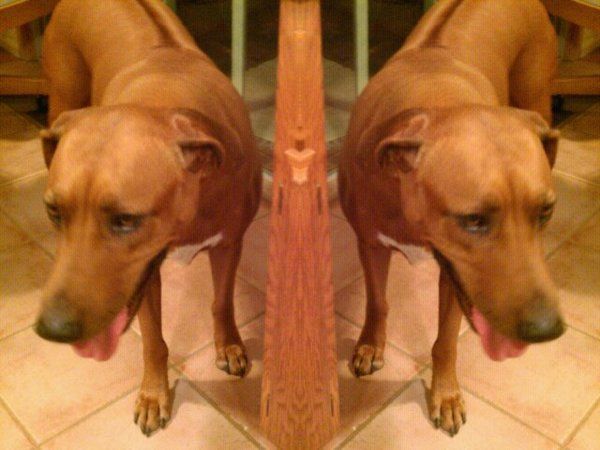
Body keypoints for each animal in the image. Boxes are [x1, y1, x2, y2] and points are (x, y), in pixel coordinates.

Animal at [35, 0, 261, 435]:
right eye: (54, 211)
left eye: (125, 220)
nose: (50, 330)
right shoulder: (145, 276)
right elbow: (154, 339)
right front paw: (155, 394)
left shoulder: (229, 242)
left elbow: (221, 301)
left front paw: (228, 344)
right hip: (61, 91)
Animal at [338, 0, 564, 435]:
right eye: (473, 220)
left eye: (545, 211)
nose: (548, 330)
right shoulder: (370, 242)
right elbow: (378, 301)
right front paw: (371, 344)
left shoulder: (454, 277)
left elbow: (445, 340)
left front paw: (445, 393)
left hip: (538, 92)